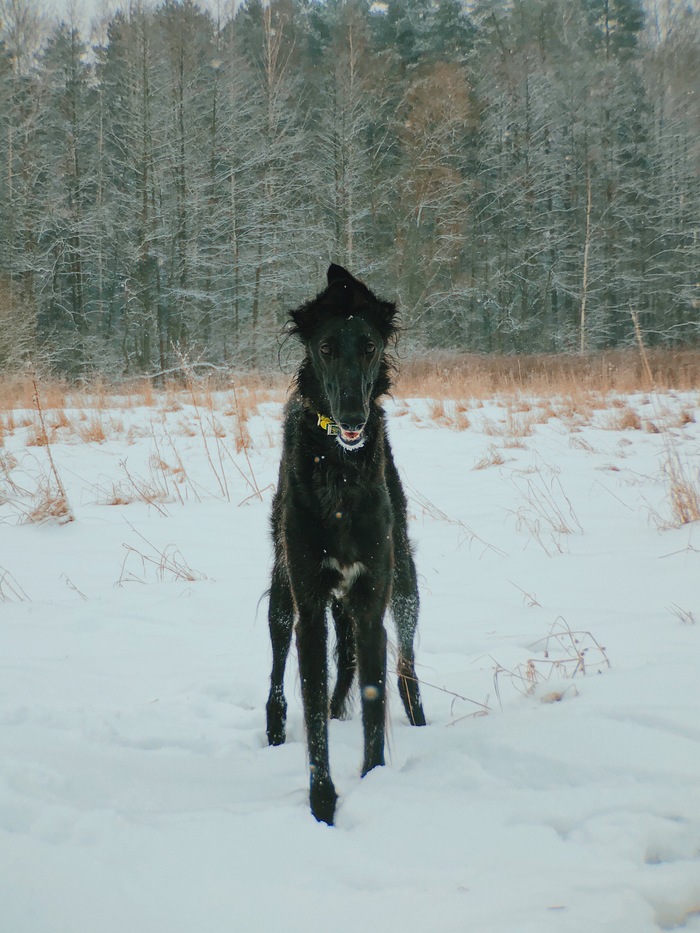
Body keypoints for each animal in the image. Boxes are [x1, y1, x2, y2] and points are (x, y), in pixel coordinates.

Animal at [266, 262, 424, 824]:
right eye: (327, 347)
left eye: (370, 346)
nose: (353, 418)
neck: (338, 472)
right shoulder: (310, 606)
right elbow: (313, 712)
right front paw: (322, 801)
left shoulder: (372, 600)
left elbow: (375, 703)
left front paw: (373, 779)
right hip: (281, 592)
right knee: (278, 670)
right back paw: (274, 728)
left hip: (406, 587)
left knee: (403, 666)